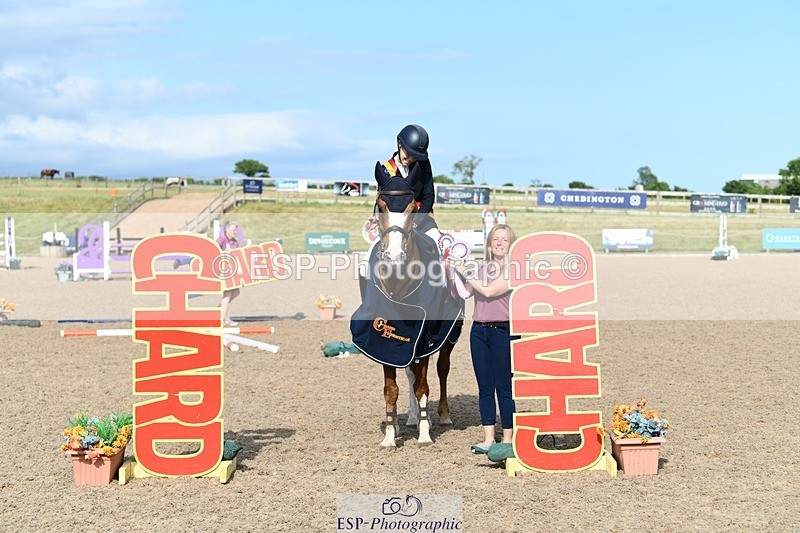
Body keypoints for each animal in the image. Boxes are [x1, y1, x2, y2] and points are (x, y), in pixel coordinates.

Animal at [350, 162, 464, 447]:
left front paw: (424, 434)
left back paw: (441, 416)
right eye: (381, 206)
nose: (393, 256)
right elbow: (392, 388)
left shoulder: (424, 335)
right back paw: (411, 418)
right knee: (411, 373)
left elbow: (423, 385)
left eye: (413, 208)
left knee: (441, 370)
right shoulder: (383, 341)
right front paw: (391, 435)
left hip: (449, 335)